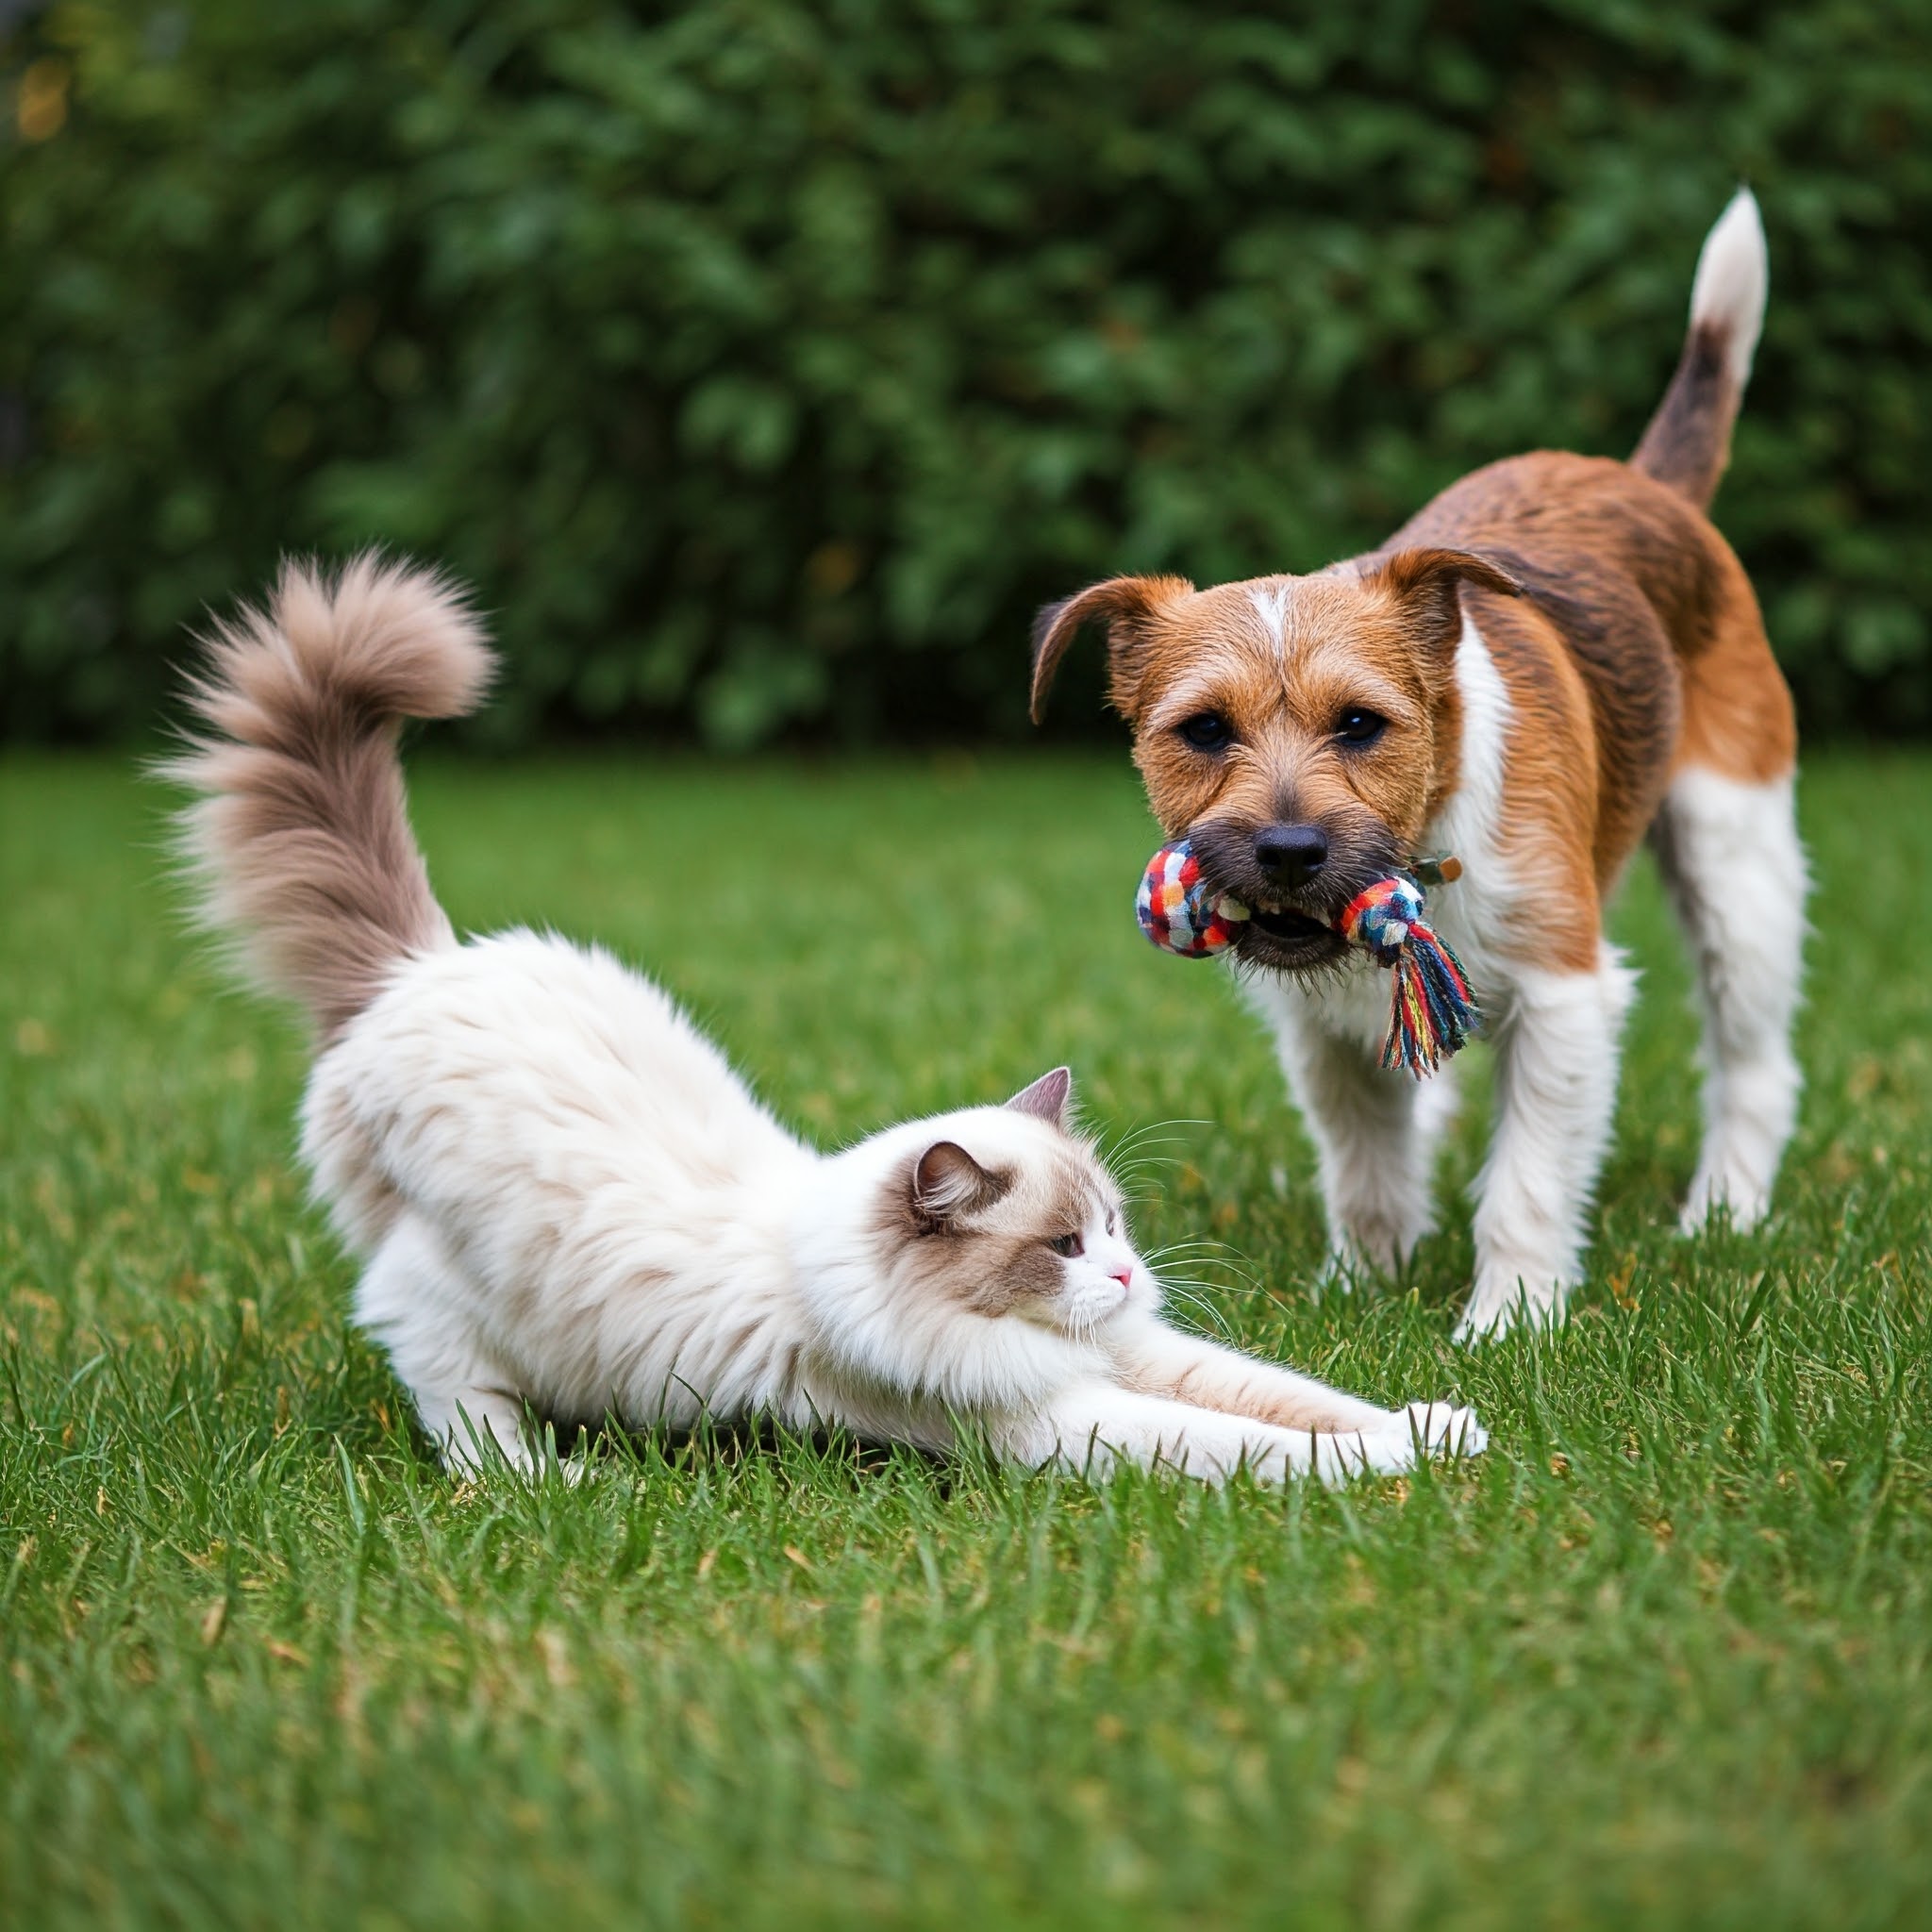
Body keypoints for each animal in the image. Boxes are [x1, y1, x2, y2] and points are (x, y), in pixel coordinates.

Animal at [170, 552, 1491, 1483]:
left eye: (1112, 1228)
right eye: (1061, 1247)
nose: (1122, 1272)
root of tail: (416, 969)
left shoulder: (1144, 1355)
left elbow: (1299, 1399)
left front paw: (1444, 1426)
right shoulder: (1065, 1417)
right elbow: (1270, 1447)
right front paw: (1400, 1463)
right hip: (437, 1299)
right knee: (461, 1411)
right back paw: (554, 1480)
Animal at [1035, 192, 1800, 1344]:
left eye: (1361, 724)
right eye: (1204, 732)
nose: (1289, 851)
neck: (1425, 838)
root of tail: (1643, 482)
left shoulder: (1563, 995)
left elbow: (1527, 1179)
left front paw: (1507, 1325)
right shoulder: (1320, 1036)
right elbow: (1363, 1164)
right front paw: (1360, 1284)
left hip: (1734, 856)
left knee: (1752, 1059)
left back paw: (1725, 1211)